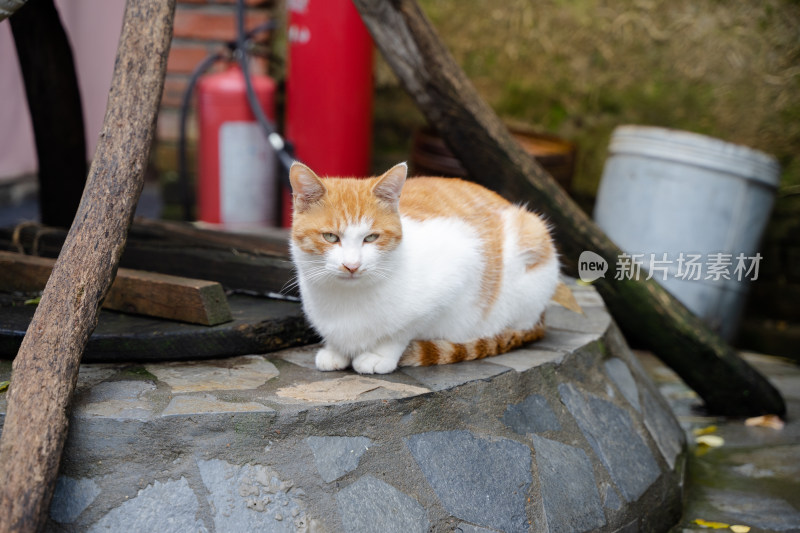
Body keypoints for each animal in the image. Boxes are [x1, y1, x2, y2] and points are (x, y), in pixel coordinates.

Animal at [290, 162, 560, 374]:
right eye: (330, 237)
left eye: (371, 238)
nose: (352, 265)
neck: (348, 298)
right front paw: (335, 350)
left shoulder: (461, 263)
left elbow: (404, 329)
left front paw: (380, 354)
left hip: (532, 244)